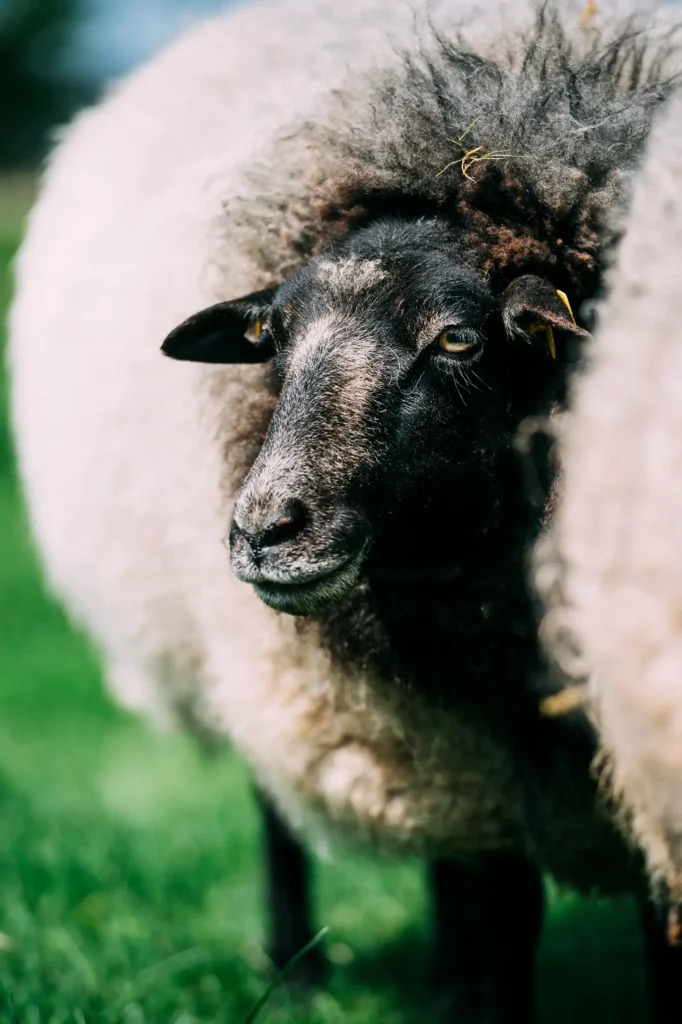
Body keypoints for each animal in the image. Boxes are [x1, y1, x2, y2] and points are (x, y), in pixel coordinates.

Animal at [8, 0, 682, 1017]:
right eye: (274, 337)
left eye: (458, 339)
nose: (263, 530)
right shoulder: (473, 764)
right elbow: (504, 918)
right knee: (280, 812)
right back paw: (297, 973)